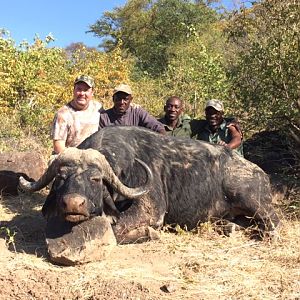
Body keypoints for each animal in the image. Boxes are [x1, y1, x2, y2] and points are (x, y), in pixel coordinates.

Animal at [19, 125, 280, 243]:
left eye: (95, 179)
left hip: (251, 200)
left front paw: (149, 233)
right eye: (62, 177)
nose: (74, 203)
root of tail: (260, 173)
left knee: (274, 222)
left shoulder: (151, 211)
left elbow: (117, 229)